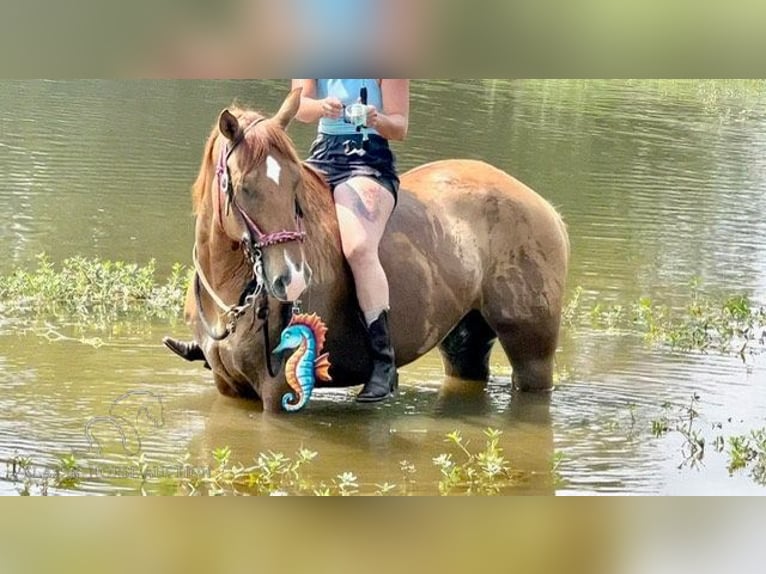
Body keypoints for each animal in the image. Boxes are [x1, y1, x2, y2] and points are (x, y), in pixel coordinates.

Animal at [184, 89, 568, 414]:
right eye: (245, 188)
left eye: (295, 184)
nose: (292, 279)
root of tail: (546, 207)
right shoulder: (228, 388)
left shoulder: (277, 393)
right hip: (466, 342)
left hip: (532, 353)